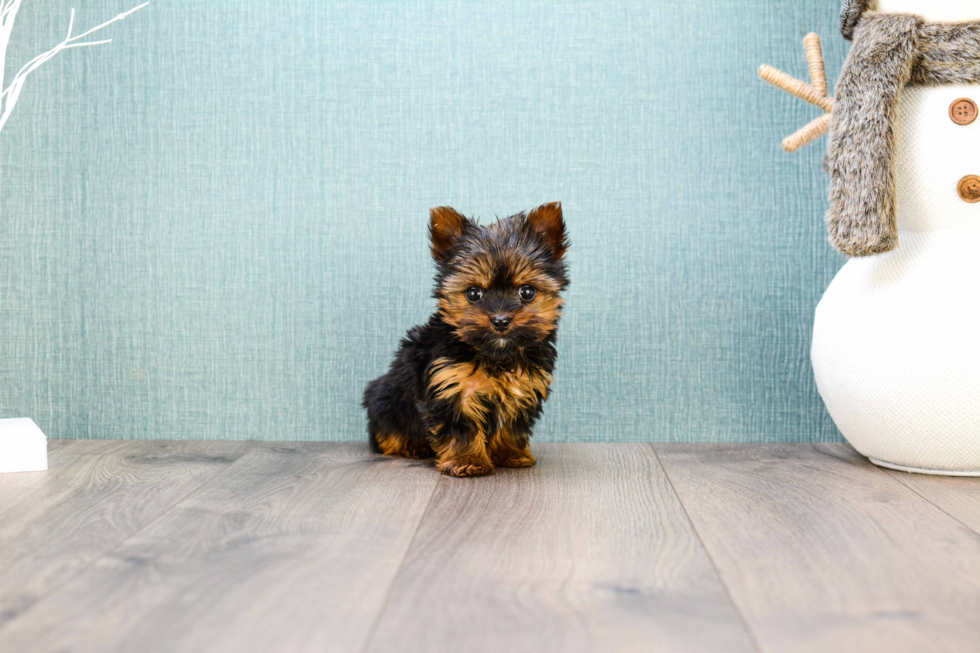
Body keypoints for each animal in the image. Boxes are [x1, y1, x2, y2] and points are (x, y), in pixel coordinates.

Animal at [364, 201, 572, 476]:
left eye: (527, 292)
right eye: (474, 293)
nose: (501, 320)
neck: (496, 354)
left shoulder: (522, 388)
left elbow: (511, 426)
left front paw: (510, 453)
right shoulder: (451, 386)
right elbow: (461, 428)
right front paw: (467, 460)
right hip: (385, 401)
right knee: (387, 433)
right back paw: (410, 446)